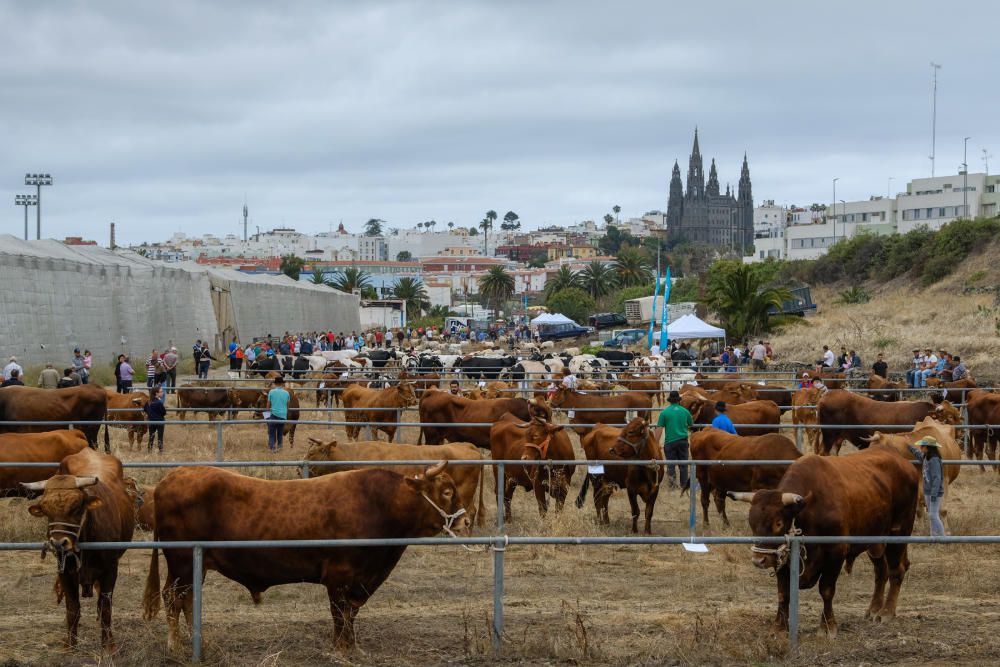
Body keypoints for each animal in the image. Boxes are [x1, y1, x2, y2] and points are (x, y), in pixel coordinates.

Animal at [21, 448, 135, 652]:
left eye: (76, 507)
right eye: (46, 510)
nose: (59, 543)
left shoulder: (110, 570)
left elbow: (105, 608)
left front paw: (108, 645)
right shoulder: (65, 571)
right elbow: (72, 608)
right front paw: (70, 644)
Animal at [145, 464, 468, 652]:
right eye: (446, 491)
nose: (465, 522)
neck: (379, 503)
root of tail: (171, 478)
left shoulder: (361, 581)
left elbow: (350, 615)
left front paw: (352, 646)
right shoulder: (340, 577)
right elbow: (340, 615)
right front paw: (342, 648)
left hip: (192, 567)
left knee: (186, 600)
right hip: (182, 563)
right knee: (173, 598)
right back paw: (175, 646)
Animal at [732, 446, 916, 640]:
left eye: (778, 523)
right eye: (752, 522)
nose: (758, 560)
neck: (810, 510)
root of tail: (900, 459)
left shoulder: (835, 554)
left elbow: (826, 590)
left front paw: (828, 626)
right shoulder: (780, 558)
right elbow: (783, 593)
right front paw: (779, 628)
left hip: (899, 533)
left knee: (896, 570)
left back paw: (886, 612)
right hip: (876, 542)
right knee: (881, 571)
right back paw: (873, 609)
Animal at [816, 388, 964, 456]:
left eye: (958, 415)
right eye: (950, 417)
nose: (962, 433)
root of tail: (825, 396)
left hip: (838, 437)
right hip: (829, 435)